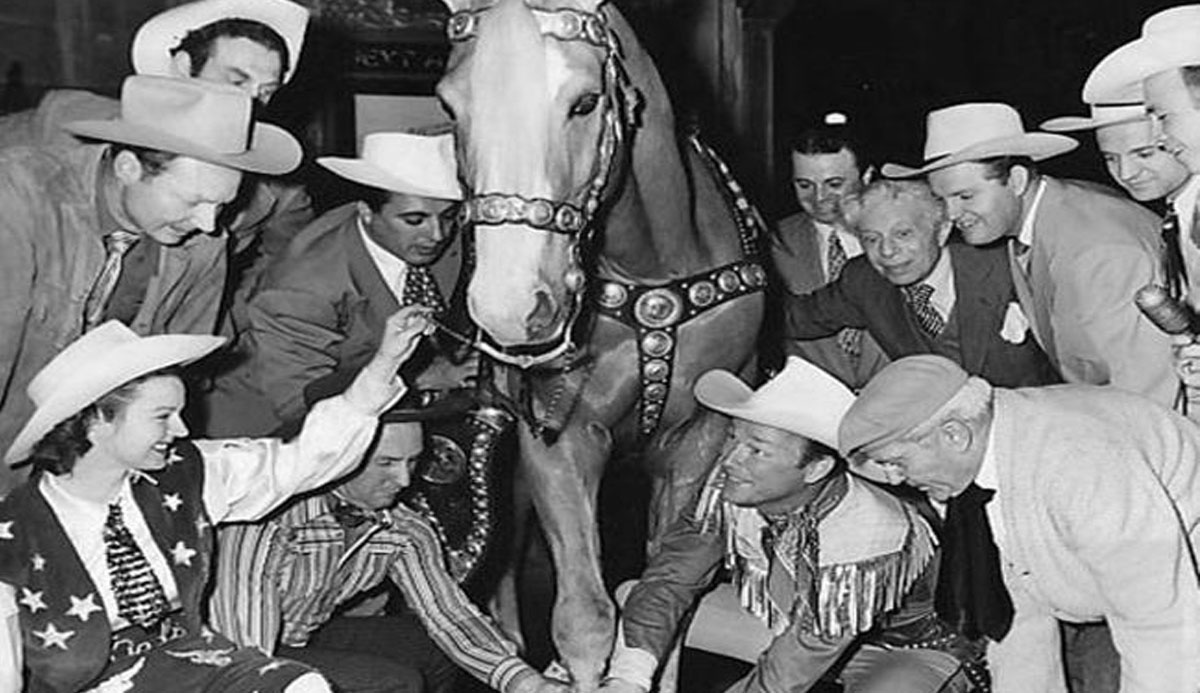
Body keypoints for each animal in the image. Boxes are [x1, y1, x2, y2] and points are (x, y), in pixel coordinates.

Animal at [436, 0, 763, 685]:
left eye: (585, 103)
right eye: (450, 106)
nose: (511, 308)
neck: (652, 274)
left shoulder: (697, 442)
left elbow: (663, 601)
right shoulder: (559, 438)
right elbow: (584, 620)